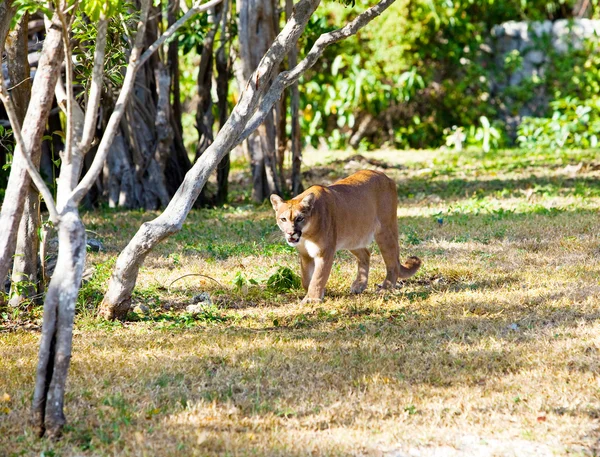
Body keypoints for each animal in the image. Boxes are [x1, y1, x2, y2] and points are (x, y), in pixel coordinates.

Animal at [272, 168, 422, 302]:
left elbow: (318, 277)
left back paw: (385, 288)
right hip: (353, 237)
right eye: (283, 219)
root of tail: (386, 176)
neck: (306, 235)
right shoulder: (305, 255)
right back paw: (359, 285)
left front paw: (312, 299)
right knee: (366, 254)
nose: (291, 233)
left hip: (384, 231)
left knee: (392, 263)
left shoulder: (325, 252)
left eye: (299, 218)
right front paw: (317, 294)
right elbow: (305, 279)